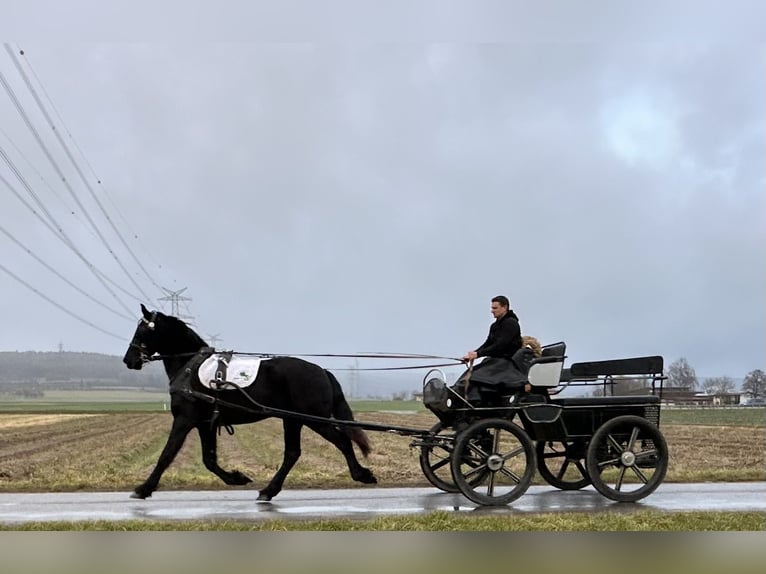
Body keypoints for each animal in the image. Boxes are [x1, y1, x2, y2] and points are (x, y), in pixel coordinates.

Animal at [123, 306, 378, 504]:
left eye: (142, 330)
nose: (128, 360)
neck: (190, 368)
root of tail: (322, 371)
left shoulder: (185, 420)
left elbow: (167, 454)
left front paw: (143, 489)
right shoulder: (205, 423)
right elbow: (209, 459)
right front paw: (237, 478)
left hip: (312, 419)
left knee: (341, 441)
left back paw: (361, 474)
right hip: (292, 419)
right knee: (293, 453)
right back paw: (268, 491)